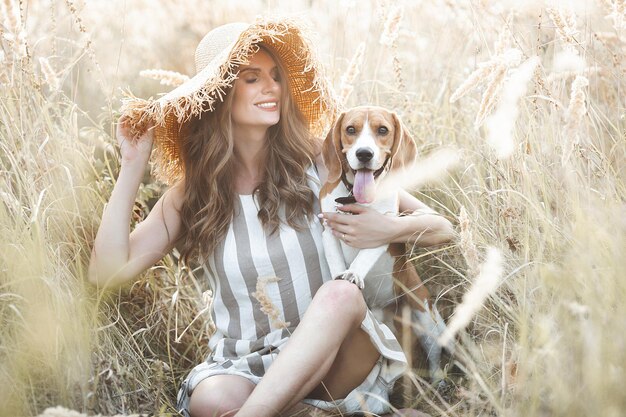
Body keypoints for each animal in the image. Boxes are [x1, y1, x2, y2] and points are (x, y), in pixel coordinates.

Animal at [320, 105, 450, 382]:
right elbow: (335, 259)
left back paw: (437, 381)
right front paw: (339, 276)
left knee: (435, 356)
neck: (355, 199)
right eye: (350, 129)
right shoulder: (327, 228)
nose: (364, 153)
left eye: (382, 130)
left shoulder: (381, 230)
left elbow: (363, 257)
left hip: (426, 319)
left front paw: (354, 273)